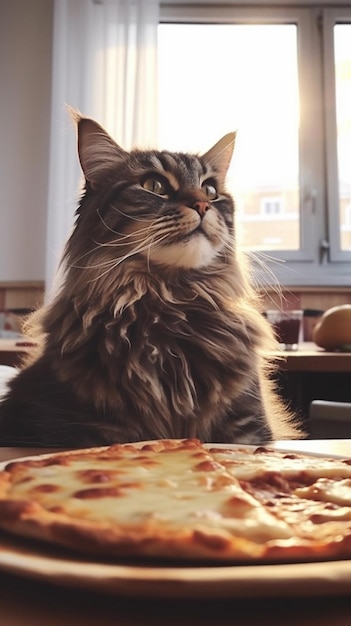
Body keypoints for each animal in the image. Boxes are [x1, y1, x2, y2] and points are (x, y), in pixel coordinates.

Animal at [0, 111, 302, 444]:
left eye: (211, 190)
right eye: (154, 185)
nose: (202, 204)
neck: (168, 304)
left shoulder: (247, 428)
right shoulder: (79, 430)